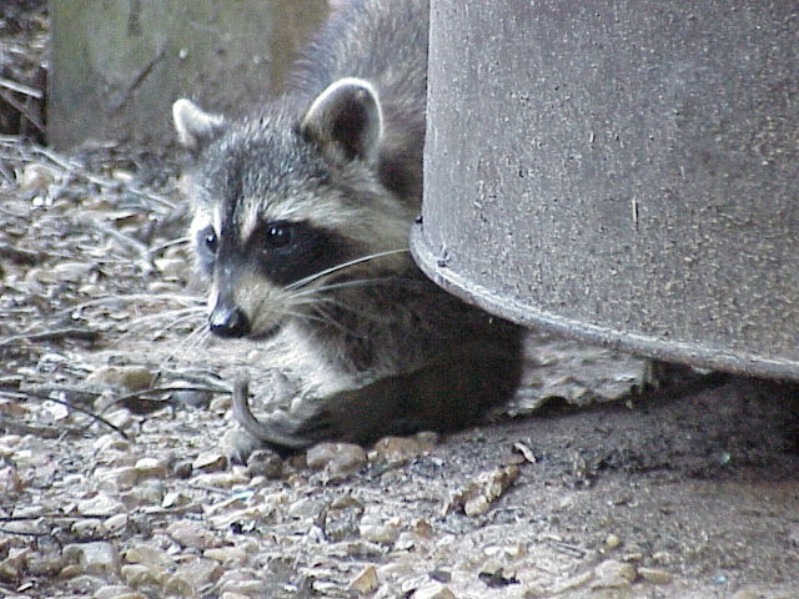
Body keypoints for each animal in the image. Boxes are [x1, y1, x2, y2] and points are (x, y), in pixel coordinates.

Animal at [172, 0, 524, 452]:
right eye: (212, 240)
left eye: (277, 235)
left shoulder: (458, 286)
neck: (341, 287)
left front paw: (378, 401)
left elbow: (486, 368)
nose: (225, 322)